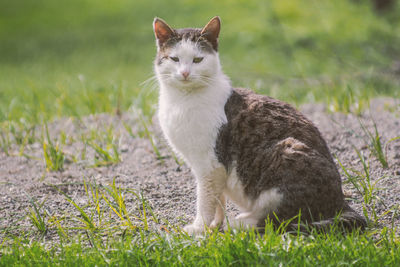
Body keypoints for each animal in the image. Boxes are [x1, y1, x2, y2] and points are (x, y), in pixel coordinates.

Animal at [152, 16, 366, 234]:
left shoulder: (211, 165)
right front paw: (213, 226)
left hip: (286, 151)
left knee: (281, 220)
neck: (182, 100)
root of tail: (341, 203)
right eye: (174, 59)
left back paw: (240, 223)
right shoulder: (214, 171)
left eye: (197, 60)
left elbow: (206, 200)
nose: (185, 73)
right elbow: (218, 199)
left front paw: (199, 227)